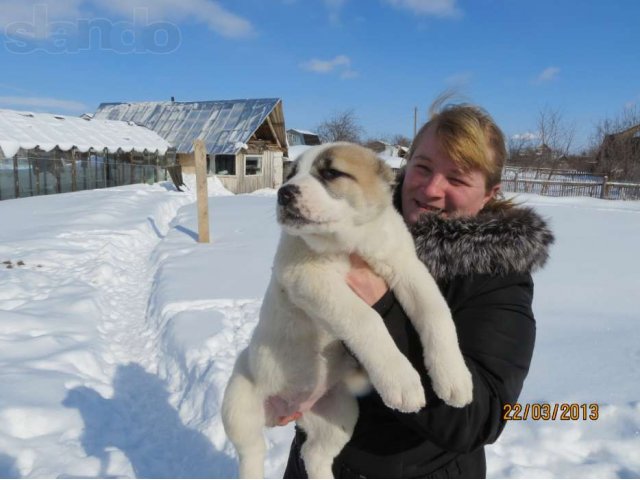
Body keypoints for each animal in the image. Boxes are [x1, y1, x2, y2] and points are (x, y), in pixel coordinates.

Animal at [222, 142, 472, 476]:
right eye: (290, 174)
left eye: (331, 173)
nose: (284, 193)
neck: (351, 243)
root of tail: (286, 408)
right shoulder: (308, 278)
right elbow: (366, 318)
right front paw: (401, 380)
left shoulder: (408, 270)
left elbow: (437, 315)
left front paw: (454, 377)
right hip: (239, 404)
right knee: (251, 450)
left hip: (339, 413)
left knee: (314, 454)